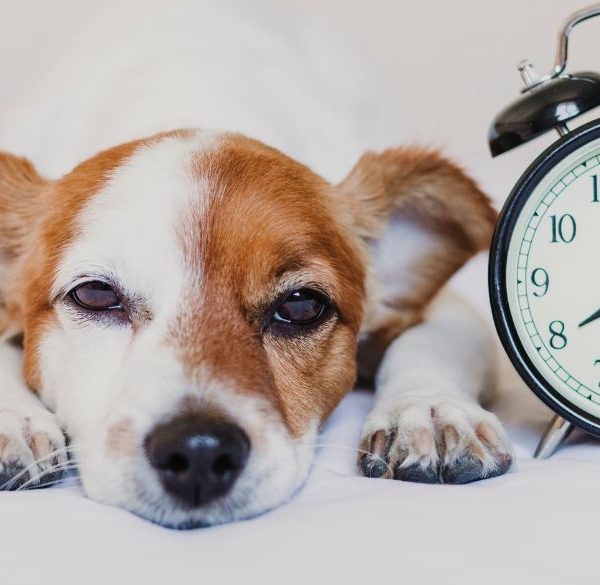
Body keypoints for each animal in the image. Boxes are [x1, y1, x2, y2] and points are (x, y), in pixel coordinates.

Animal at [0, 1, 512, 528]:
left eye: (302, 306)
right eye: (96, 294)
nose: (199, 450)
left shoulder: (451, 309)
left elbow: (427, 343)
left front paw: (428, 409)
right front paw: (13, 419)